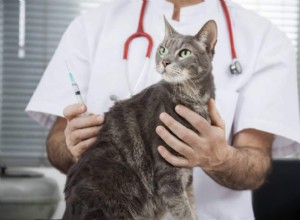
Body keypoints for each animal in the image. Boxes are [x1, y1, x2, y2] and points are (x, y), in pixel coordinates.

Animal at [63, 17, 216, 220]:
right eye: (163, 49)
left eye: (184, 53)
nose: (165, 61)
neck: (194, 98)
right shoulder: (169, 174)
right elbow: (184, 212)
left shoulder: (186, 173)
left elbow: (190, 206)